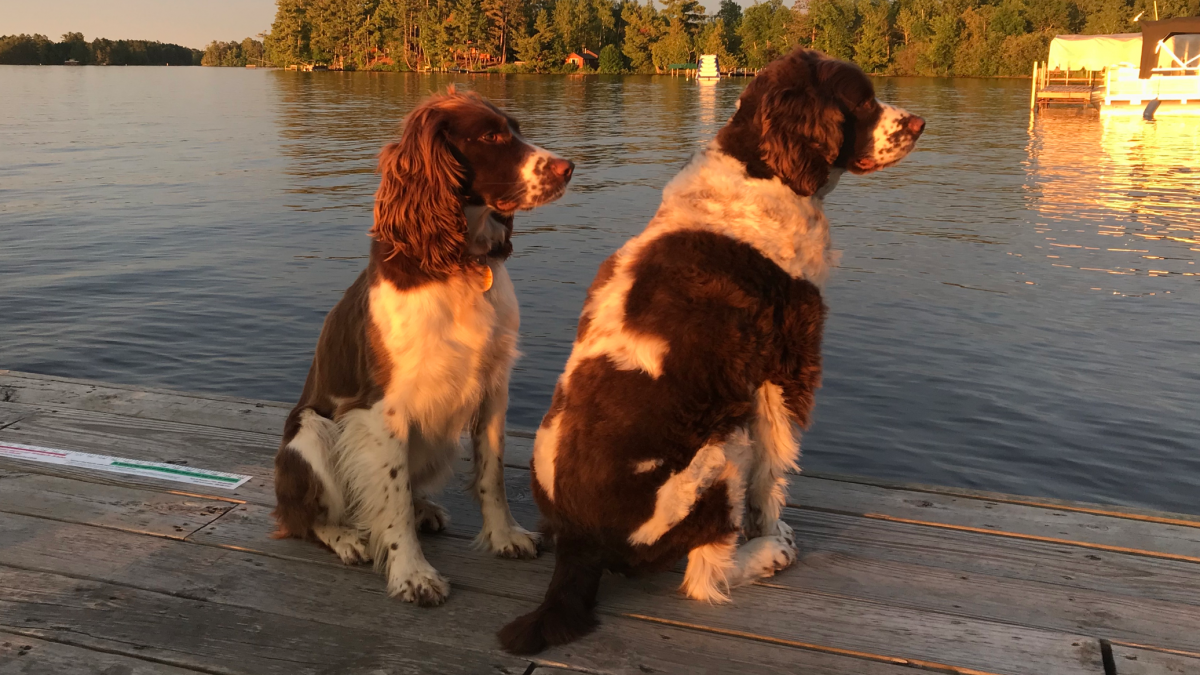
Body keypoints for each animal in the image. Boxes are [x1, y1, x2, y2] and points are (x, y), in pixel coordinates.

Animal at [274, 88, 573, 605]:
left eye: (515, 128)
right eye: (491, 137)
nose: (568, 167)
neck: (458, 263)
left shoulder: (493, 388)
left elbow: (491, 473)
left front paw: (505, 536)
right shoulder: (383, 408)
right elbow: (390, 498)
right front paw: (411, 573)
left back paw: (423, 509)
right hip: (311, 433)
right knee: (303, 517)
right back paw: (348, 537)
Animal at [501, 49, 921, 648]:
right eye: (861, 100)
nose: (919, 123)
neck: (764, 170)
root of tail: (580, 543)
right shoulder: (783, 365)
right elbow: (775, 471)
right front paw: (772, 528)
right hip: (721, 451)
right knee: (705, 574)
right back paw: (769, 554)